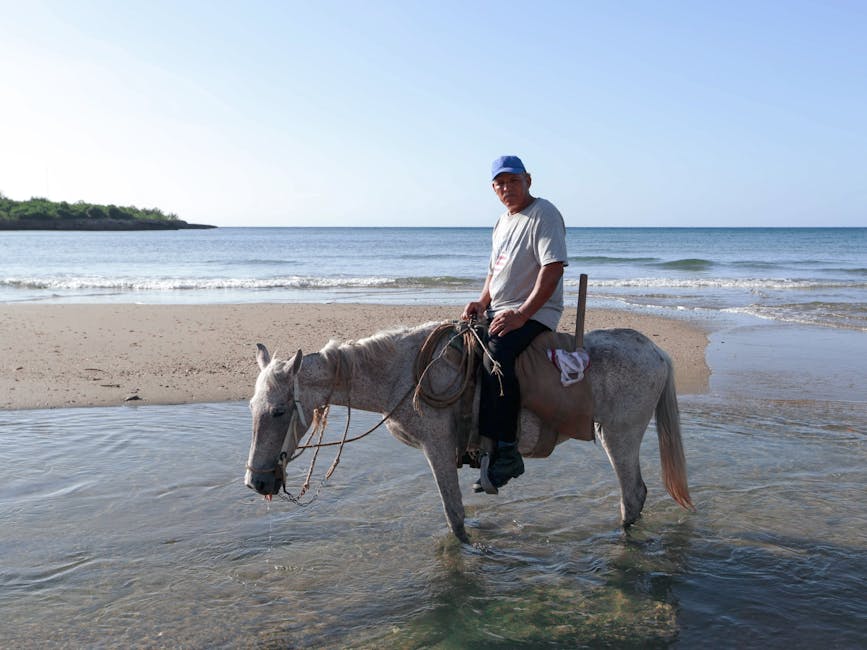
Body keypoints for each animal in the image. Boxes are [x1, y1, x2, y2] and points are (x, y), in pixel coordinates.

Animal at [244, 320, 692, 540]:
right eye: (253, 408)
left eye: (280, 411)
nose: (257, 482)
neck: (404, 373)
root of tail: (657, 351)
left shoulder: (438, 448)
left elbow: (454, 516)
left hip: (619, 435)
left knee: (632, 496)